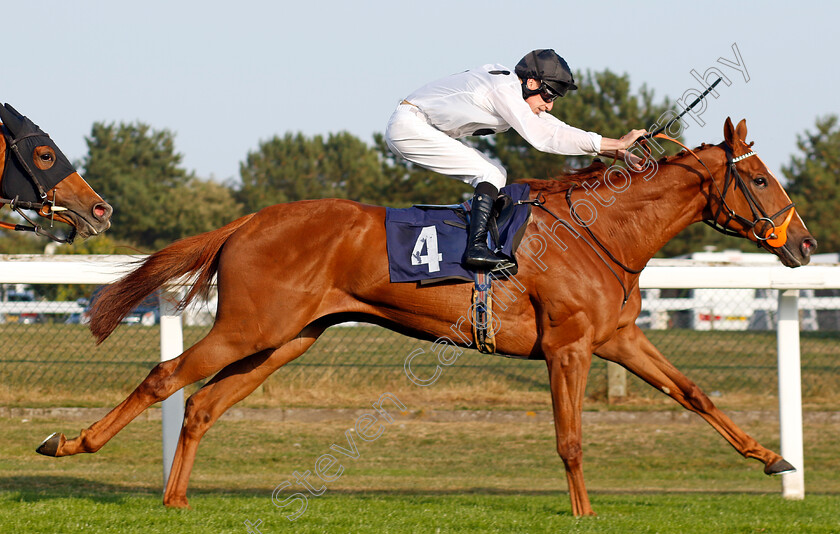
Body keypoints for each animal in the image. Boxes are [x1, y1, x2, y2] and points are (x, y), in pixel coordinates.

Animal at [37, 118, 812, 520]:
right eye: (761, 178)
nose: (804, 245)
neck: (602, 230)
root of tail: (246, 223)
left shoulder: (617, 337)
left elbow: (695, 393)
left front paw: (774, 458)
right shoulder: (569, 346)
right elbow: (569, 439)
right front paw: (585, 514)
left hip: (286, 339)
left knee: (200, 403)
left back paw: (175, 499)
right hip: (249, 329)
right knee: (164, 375)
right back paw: (71, 444)